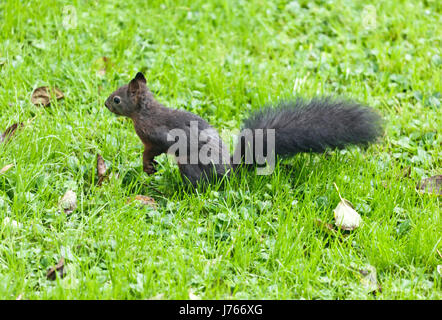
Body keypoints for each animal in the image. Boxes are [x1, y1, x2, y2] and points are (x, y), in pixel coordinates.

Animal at [104, 72, 384, 185]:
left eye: (117, 99)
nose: (105, 103)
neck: (143, 112)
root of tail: (230, 171)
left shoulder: (157, 135)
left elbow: (152, 149)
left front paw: (147, 165)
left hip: (191, 165)